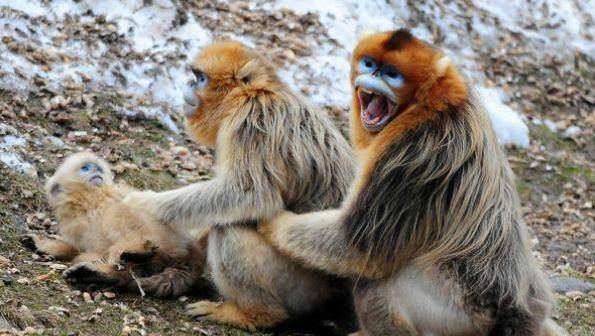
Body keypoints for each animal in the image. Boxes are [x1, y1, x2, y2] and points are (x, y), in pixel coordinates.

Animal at [22, 152, 205, 296]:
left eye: (97, 168)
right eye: (86, 168)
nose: (96, 170)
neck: (86, 202)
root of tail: (192, 253)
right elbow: (76, 249)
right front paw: (44, 245)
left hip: (168, 239)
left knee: (116, 212)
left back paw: (138, 250)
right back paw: (92, 273)